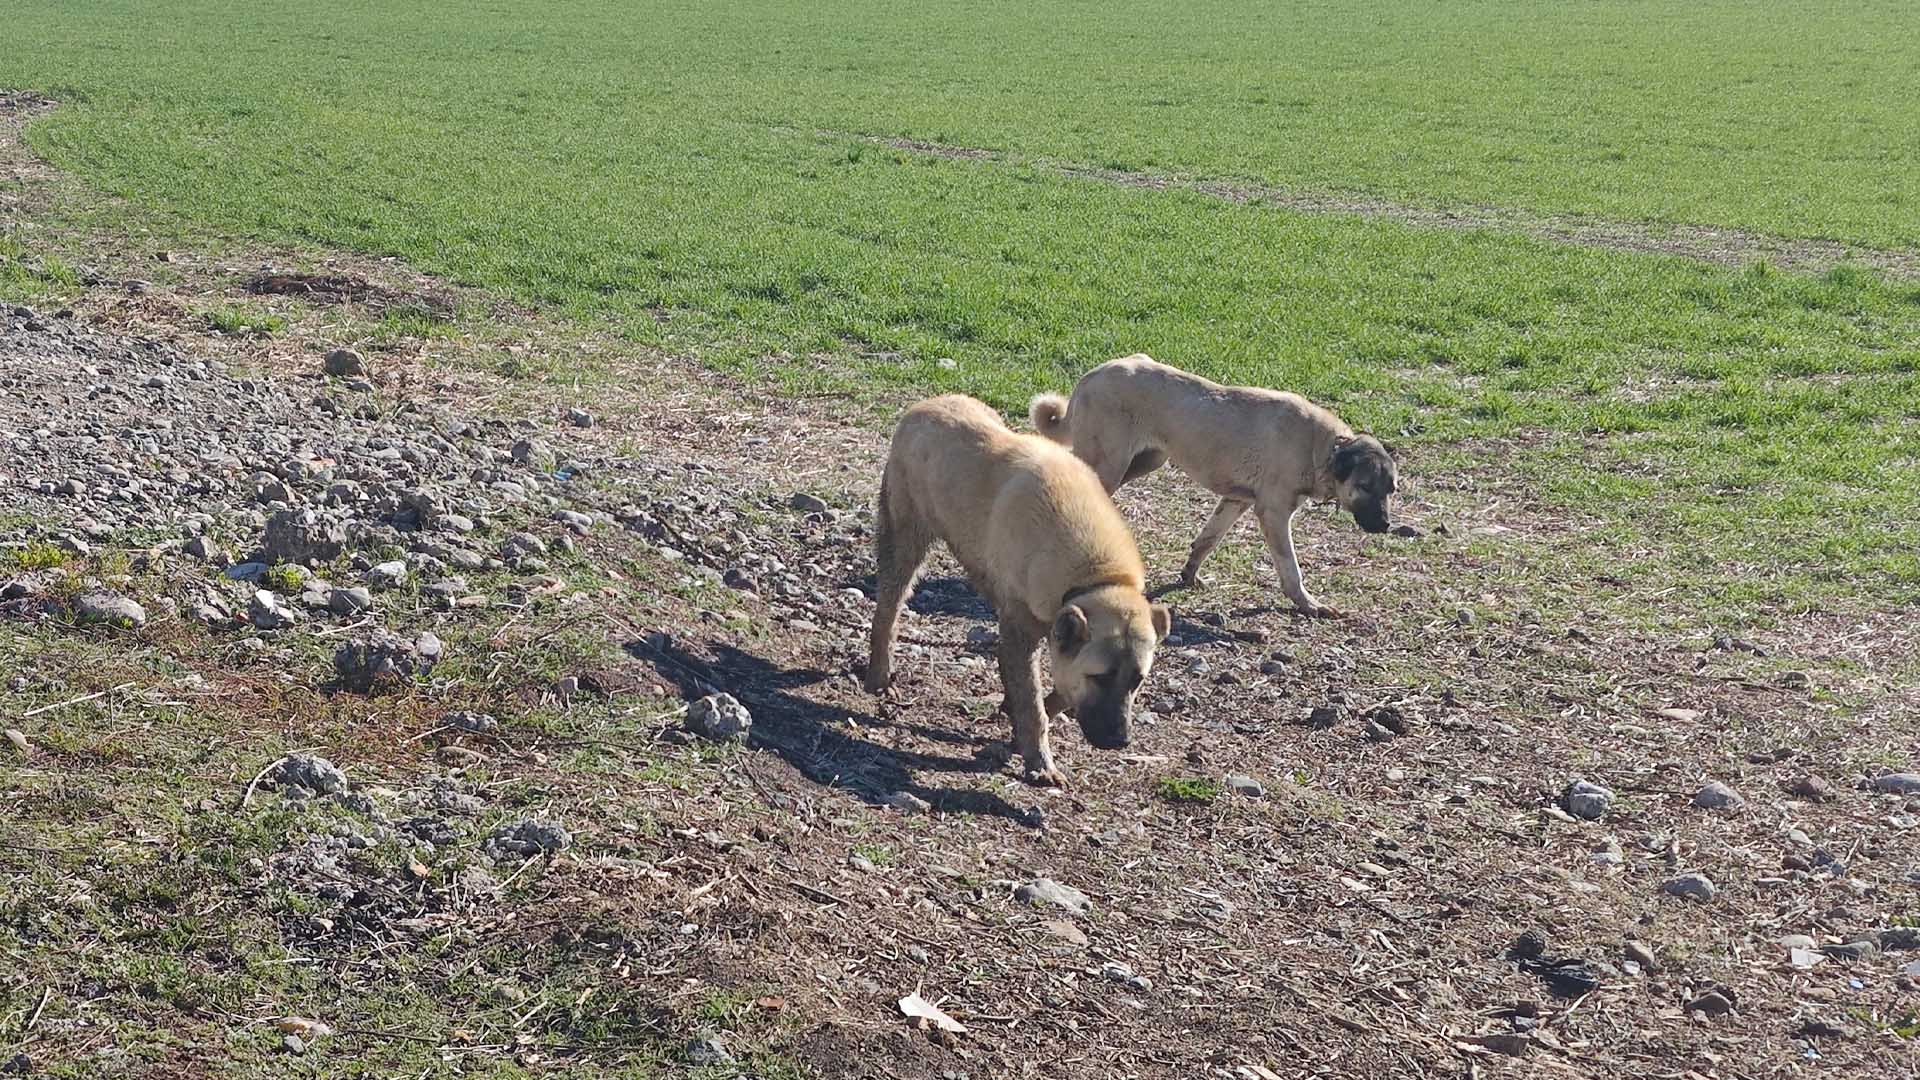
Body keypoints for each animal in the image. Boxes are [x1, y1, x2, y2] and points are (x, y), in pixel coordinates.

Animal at [867, 393, 1167, 780]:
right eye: (1100, 677)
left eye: (1137, 680)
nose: (1120, 741)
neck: (1097, 576)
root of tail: (924, 406)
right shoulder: (1023, 631)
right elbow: (1033, 706)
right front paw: (1038, 759)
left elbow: (1049, 698)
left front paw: (1019, 731)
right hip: (905, 542)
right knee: (888, 610)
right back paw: (878, 672)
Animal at [1029, 353, 1405, 614]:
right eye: (1366, 485)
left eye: (1390, 490)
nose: (1386, 526)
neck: (1325, 448)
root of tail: (1091, 375)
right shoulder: (1273, 514)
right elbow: (1290, 568)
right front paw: (1308, 603)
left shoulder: (1236, 501)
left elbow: (1207, 540)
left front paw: (1190, 576)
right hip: (1110, 463)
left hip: (1146, 461)